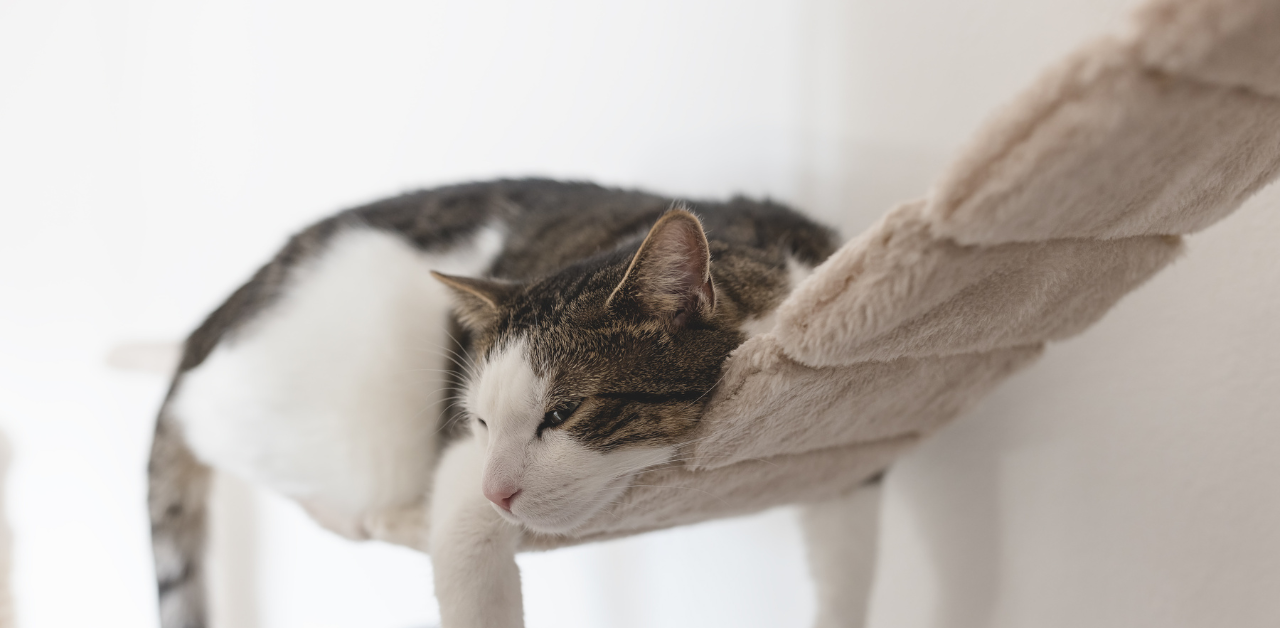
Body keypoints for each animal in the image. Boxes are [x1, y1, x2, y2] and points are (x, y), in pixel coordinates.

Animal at [147, 177, 880, 628]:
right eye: (479, 421)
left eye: (562, 413)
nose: (498, 490)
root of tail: (207, 326)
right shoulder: (459, 465)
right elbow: (467, 557)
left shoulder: (844, 431)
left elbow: (848, 566)